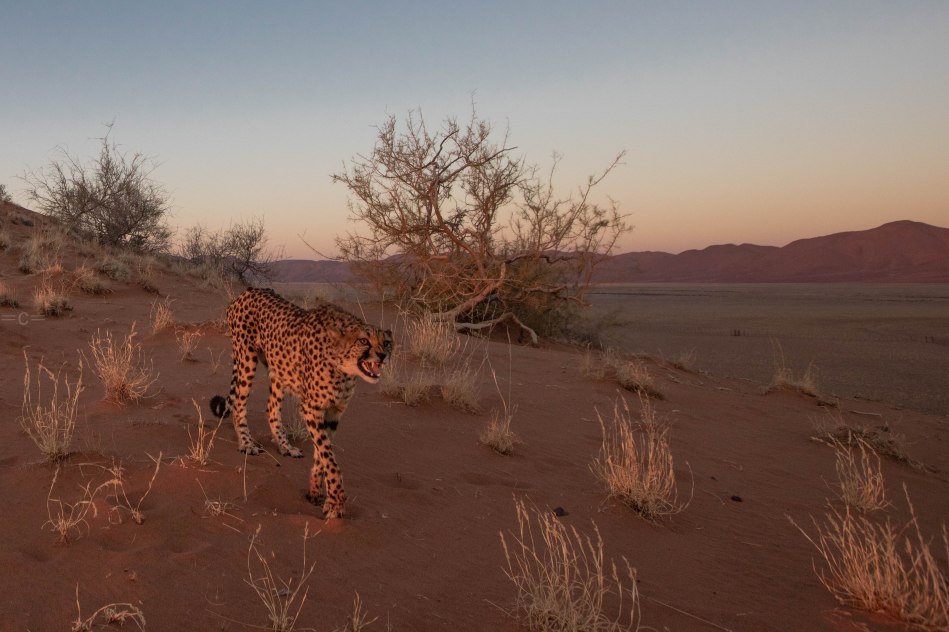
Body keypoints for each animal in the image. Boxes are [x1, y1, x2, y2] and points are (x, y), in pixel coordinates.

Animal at [210, 287, 392, 518]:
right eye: (363, 341)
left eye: (386, 342)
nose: (383, 355)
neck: (344, 367)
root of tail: (248, 291)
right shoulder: (311, 408)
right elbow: (328, 457)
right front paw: (336, 502)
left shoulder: (334, 411)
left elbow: (323, 454)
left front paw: (316, 492)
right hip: (246, 360)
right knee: (239, 404)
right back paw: (247, 443)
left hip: (279, 370)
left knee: (271, 408)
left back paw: (285, 446)